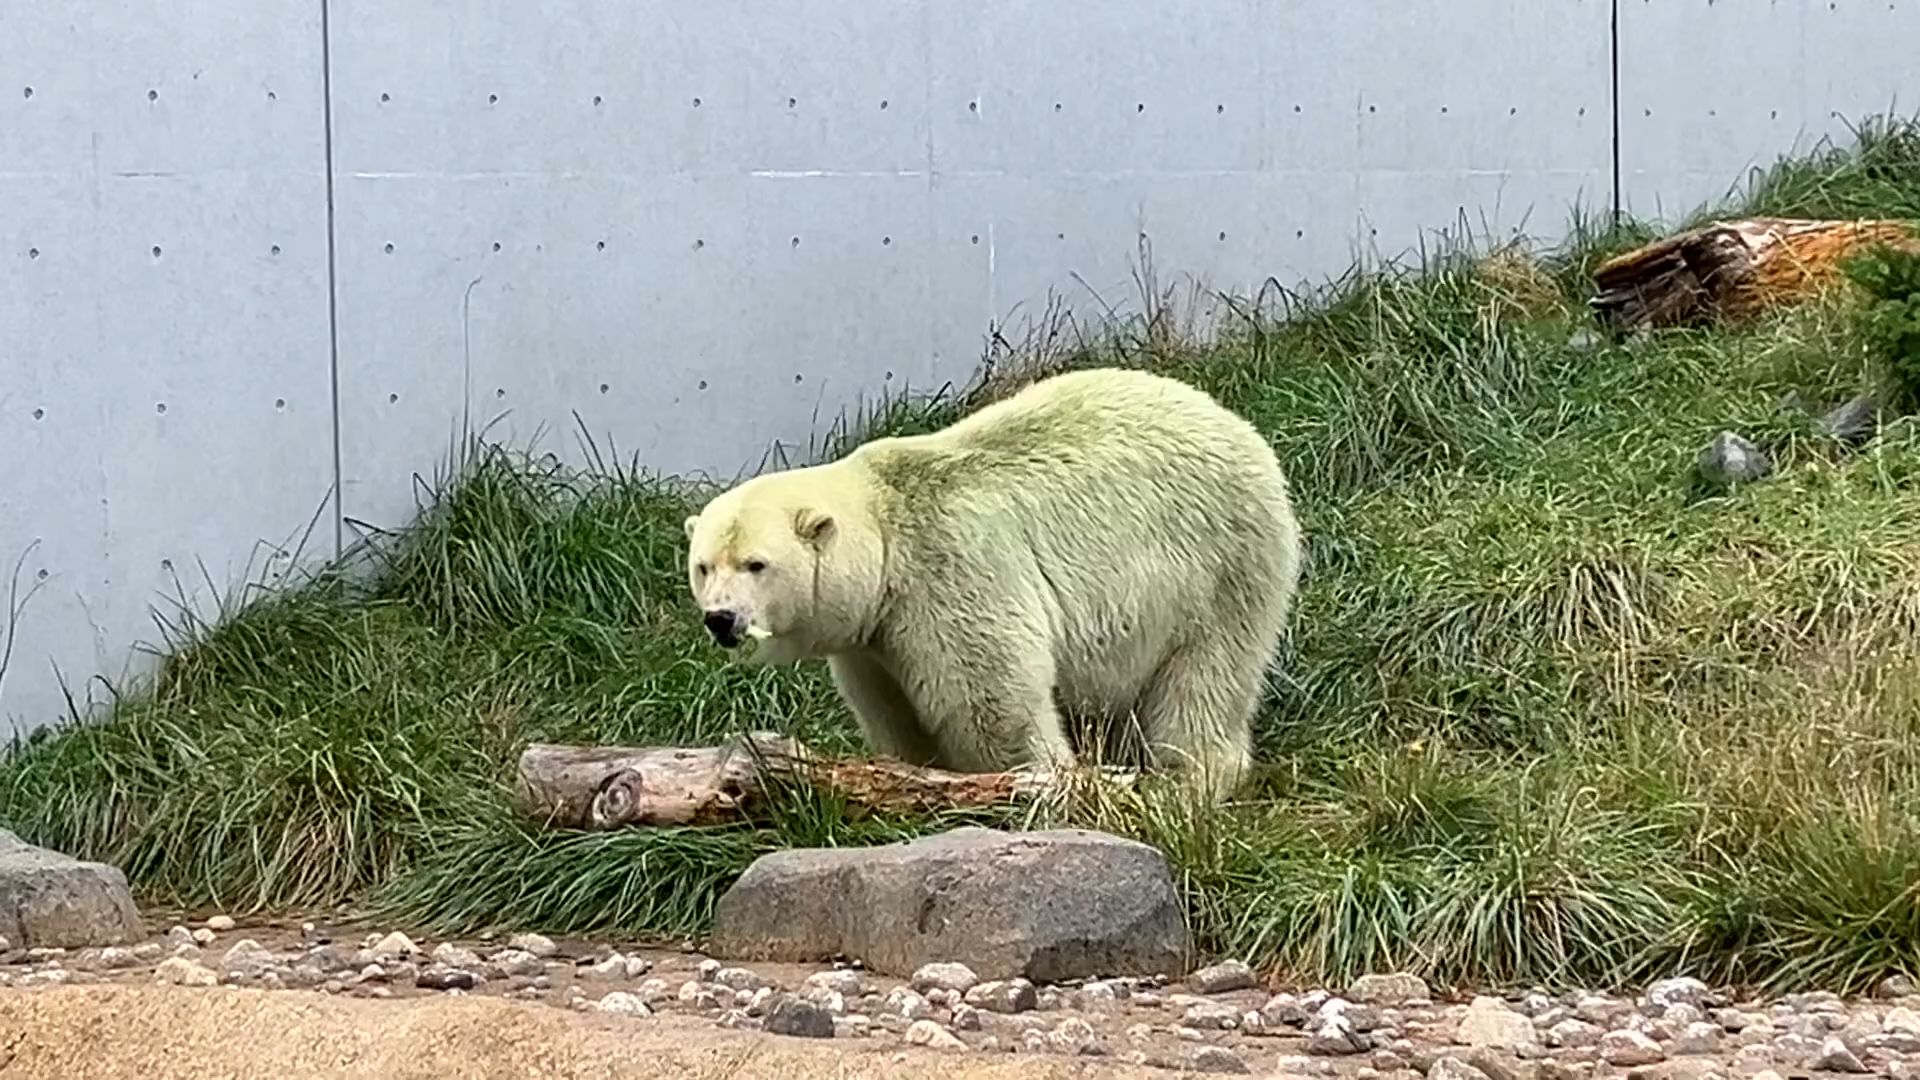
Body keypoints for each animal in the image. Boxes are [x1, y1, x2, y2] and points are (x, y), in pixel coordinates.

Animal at [683, 363, 1297, 799]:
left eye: (756, 564)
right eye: (703, 565)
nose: (722, 620)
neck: (885, 537)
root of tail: (1233, 422)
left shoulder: (951, 570)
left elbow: (991, 701)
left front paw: (1024, 784)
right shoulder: (872, 646)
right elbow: (898, 714)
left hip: (1220, 563)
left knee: (1203, 680)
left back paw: (1186, 782)